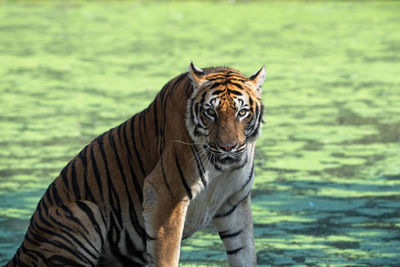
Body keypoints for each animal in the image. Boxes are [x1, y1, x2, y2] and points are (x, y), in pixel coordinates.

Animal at [5, 62, 266, 267]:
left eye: (242, 112)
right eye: (210, 113)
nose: (228, 147)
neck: (222, 170)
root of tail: (20, 251)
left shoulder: (234, 201)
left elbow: (245, 253)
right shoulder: (165, 197)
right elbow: (166, 256)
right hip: (83, 211)